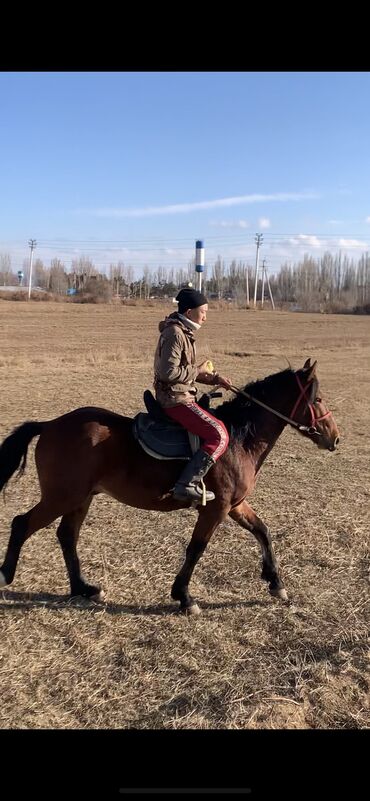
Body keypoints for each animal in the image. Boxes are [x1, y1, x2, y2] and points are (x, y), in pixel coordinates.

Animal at [0, 360, 340, 616]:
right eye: (318, 399)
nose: (335, 438)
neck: (239, 438)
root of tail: (50, 424)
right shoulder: (216, 508)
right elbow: (196, 548)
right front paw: (184, 597)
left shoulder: (235, 505)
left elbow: (263, 531)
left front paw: (275, 583)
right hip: (62, 496)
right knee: (22, 524)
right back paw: (6, 575)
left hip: (80, 498)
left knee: (67, 536)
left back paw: (82, 588)